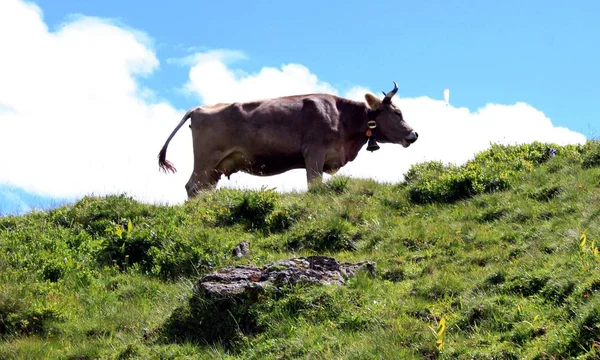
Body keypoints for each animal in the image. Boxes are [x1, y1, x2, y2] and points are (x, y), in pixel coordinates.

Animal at [157, 81, 420, 198]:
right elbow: (314, 183)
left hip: (215, 169)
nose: (414, 134)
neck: (342, 116)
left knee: (204, 189)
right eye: (398, 113)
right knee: (192, 186)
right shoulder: (313, 153)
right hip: (205, 160)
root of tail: (197, 109)